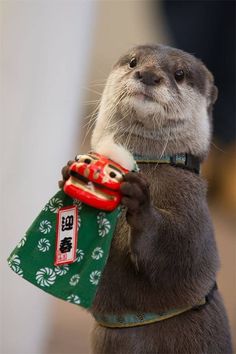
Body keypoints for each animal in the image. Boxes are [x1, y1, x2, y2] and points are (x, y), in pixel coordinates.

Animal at [60, 45, 232, 354]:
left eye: (180, 74)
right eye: (132, 62)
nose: (149, 74)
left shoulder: (195, 215)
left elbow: (179, 252)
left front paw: (140, 201)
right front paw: (67, 172)